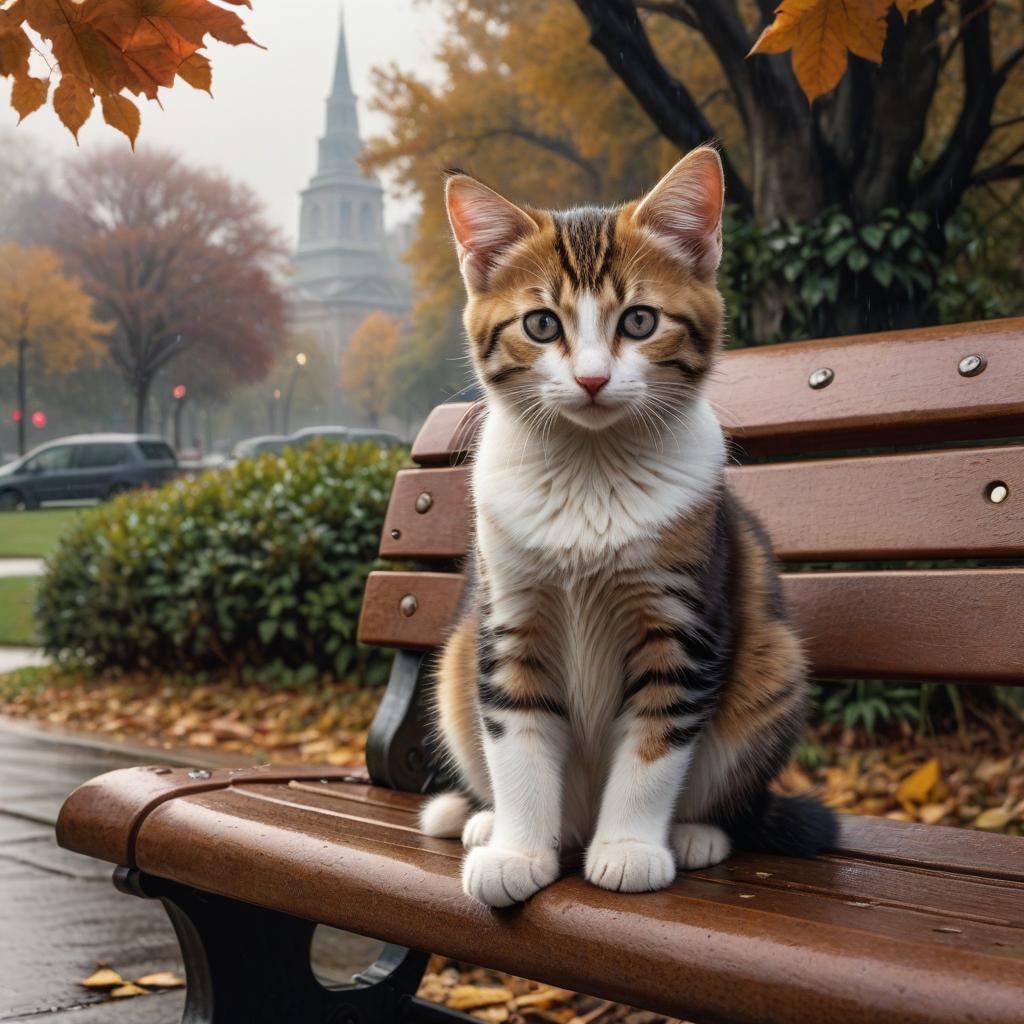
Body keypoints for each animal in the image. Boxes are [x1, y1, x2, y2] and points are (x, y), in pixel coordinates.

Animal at [419, 144, 835, 905]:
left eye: (639, 321)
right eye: (542, 324)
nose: (591, 379)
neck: (591, 471)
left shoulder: (683, 623)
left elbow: (655, 744)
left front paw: (631, 848)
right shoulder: (509, 621)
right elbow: (517, 736)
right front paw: (517, 850)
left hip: (773, 662)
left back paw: (694, 834)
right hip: (457, 658)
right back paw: (487, 821)